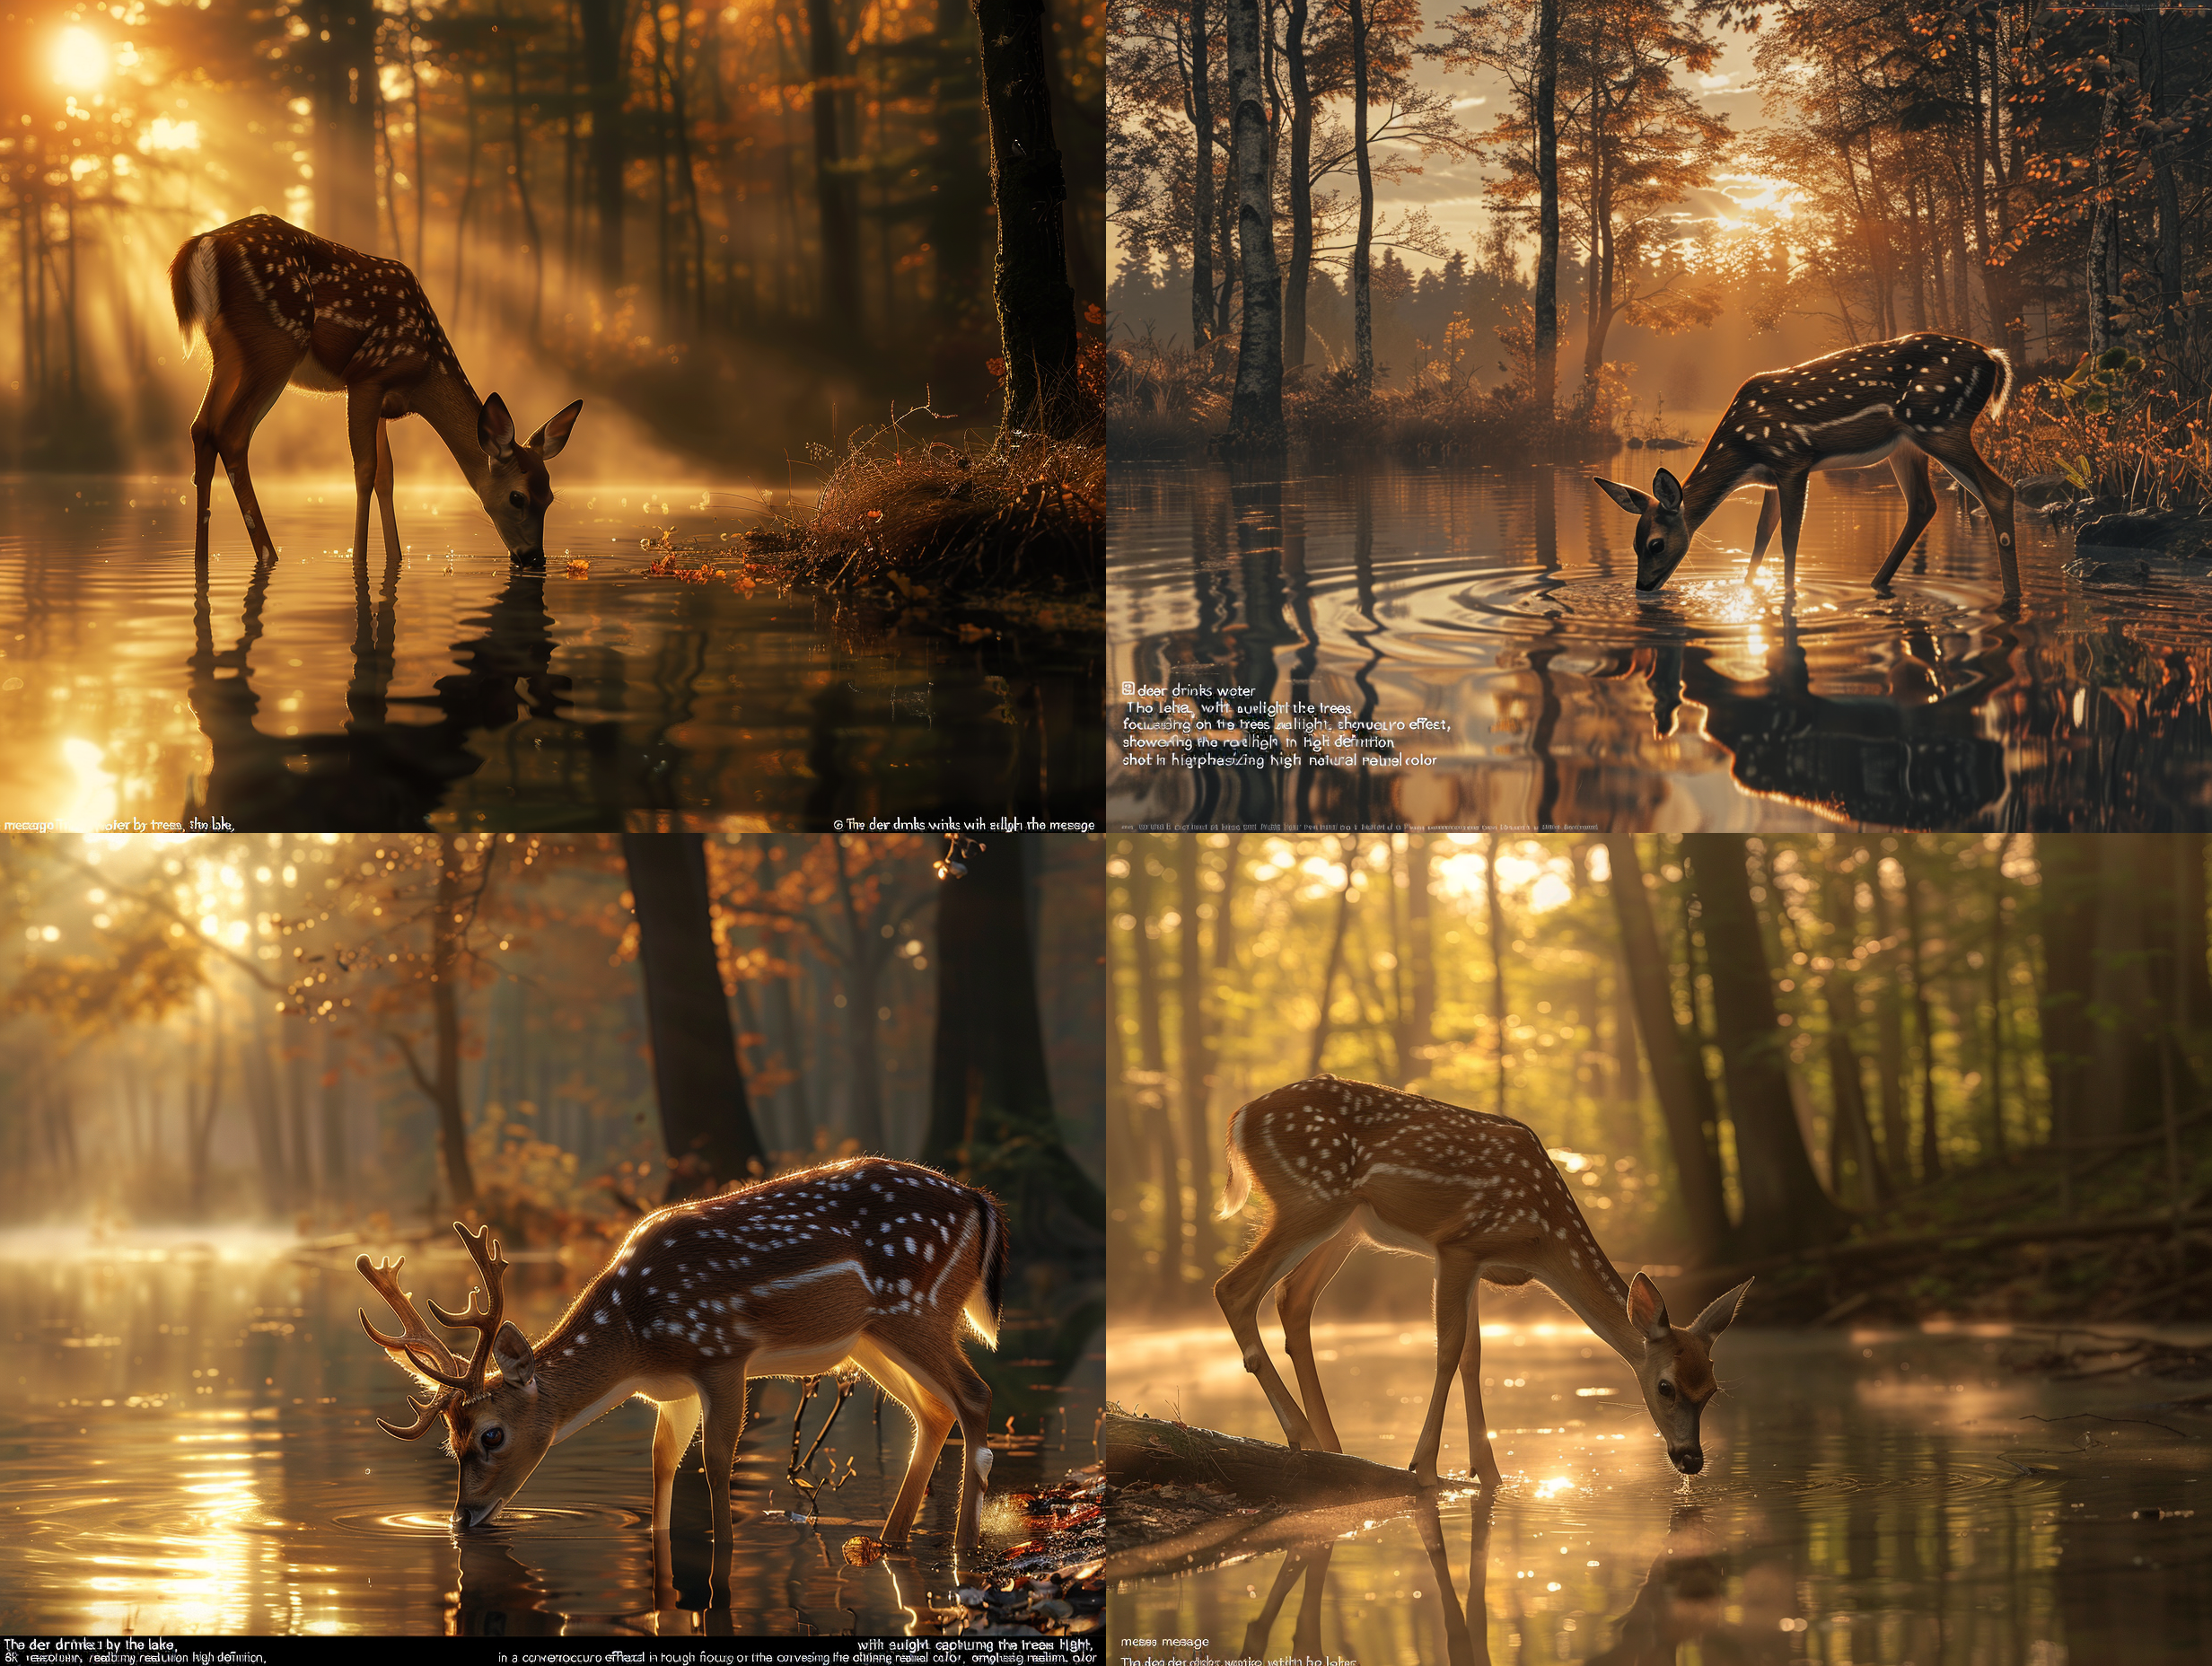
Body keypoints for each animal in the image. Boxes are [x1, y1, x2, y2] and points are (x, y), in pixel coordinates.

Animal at [168, 214, 583, 569]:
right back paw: (269, 554)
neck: (424, 370)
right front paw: (359, 560)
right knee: (232, 433)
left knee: (201, 427)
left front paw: (395, 559)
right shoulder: (367, 377)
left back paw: (200, 558)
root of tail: (205, 242)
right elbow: (365, 470)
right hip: (276, 339)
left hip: (226, 349)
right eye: (517, 497)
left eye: (550, 497)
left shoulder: (385, 403)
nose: (533, 557)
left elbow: (388, 477)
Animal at [355, 1157, 1007, 1583]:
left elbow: (715, 1462)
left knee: (974, 1394)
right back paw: (889, 1542)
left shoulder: (721, 1353)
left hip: (914, 1307)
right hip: (870, 1340)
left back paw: (964, 1549)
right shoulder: (672, 1392)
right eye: (451, 1440)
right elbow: (661, 1465)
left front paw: (723, 1556)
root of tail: (981, 1202)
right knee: (935, 1409)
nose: (462, 1518)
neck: (638, 1341)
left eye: (493, 1435)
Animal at [1215, 1075, 1753, 1489]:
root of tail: (1238, 1119)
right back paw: (1303, 1436)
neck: (1542, 1237)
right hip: (1312, 1197)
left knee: (1292, 1298)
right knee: (1233, 1289)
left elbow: (1474, 1356)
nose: (1692, 1460)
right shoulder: (1458, 1245)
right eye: (1665, 1387)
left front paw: (1489, 1473)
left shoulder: (1477, 1262)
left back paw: (1332, 1448)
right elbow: (1448, 1350)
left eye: (1711, 1390)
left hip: (1347, 1222)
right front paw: (1424, 1468)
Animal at [1593, 332, 2018, 597]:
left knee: (1999, 491)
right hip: (1906, 445)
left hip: (1940, 423)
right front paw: (1747, 590)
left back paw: (2012, 596)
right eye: (1633, 544)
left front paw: (1789, 594)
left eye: (1656, 544)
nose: (1643, 588)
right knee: (1923, 505)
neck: (1743, 449)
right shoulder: (1770, 477)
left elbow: (1789, 537)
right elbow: (1761, 537)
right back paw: (1877, 584)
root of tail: (1995, 359)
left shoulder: (1792, 459)